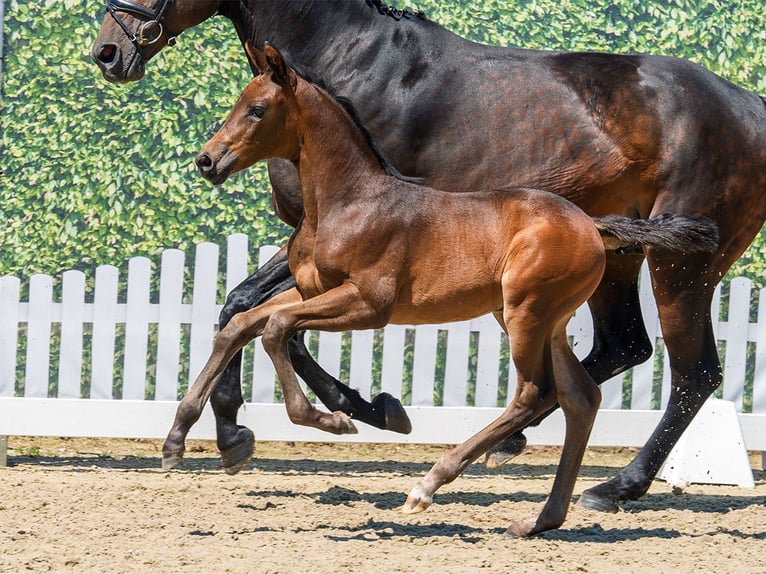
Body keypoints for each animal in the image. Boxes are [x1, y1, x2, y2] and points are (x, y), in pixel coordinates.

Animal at [91, 0, 766, 512]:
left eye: (257, 109)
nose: (107, 52)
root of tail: (749, 105)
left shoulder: (361, 284)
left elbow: (270, 321)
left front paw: (347, 413)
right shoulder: (312, 270)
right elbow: (244, 313)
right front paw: (213, 434)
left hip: (676, 271)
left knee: (686, 372)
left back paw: (612, 484)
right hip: (608, 271)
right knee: (614, 355)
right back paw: (523, 459)